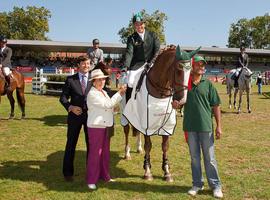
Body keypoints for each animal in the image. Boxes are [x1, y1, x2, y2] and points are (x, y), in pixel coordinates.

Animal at [123, 45, 201, 181]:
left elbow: (165, 146)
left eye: (190, 72)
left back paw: (139, 148)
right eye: (178, 70)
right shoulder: (147, 124)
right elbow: (149, 145)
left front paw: (167, 171)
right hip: (125, 115)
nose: (181, 101)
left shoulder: (167, 125)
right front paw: (147, 170)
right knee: (127, 131)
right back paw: (127, 153)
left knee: (137, 131)